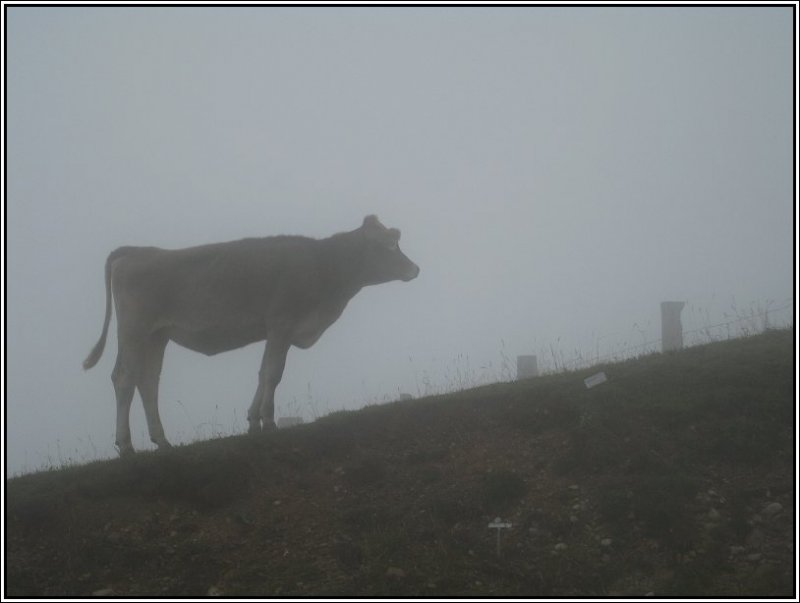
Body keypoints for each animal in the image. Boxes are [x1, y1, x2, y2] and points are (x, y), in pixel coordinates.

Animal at [82, 215, 422, 456]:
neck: (323, 266)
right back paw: (126, 445)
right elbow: (273, 373)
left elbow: (263, 373)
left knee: (148, 382)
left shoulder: (275, 330)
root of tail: (136, 251)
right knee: (124, 379)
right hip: (133, 331)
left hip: (157, 335)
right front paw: (269, 422)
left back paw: (162, 441)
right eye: (390, 245)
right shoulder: (282, 323)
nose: (415, 269)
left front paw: (253, 421)